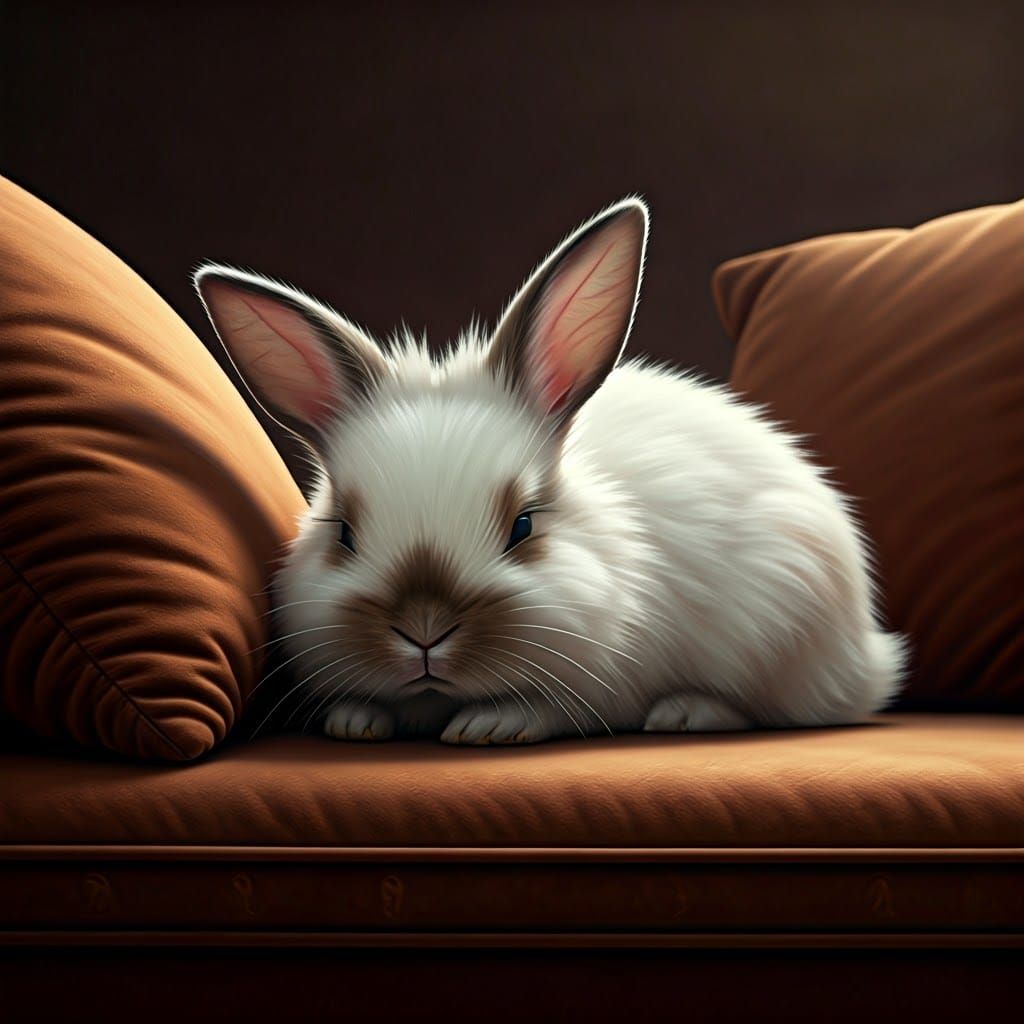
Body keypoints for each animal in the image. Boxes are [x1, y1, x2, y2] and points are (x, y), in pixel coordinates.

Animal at [194, 197, 909, 745]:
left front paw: (490, 725)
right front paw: (354, 721)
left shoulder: (610, 673)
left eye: (524, 525)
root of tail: (868, 655)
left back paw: (686, 712)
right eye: (341, 533)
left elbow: (554, 707)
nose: (424, 631)